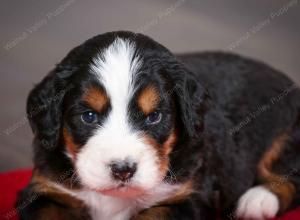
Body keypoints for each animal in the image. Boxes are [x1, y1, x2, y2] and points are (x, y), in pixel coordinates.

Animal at [17, 31, 300, 220]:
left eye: (154, 117)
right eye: (88, 116)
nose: (123, 170)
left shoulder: (188, 197)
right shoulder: (45, 190)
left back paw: (257, 201)